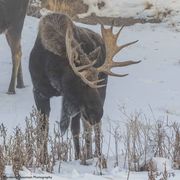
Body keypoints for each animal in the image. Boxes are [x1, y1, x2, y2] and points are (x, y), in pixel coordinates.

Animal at [28, 13, 140, 162]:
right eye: (80, 82)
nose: (97, 113)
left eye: (97, 80)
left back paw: (95, 154)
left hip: (100, 96)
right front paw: (43, 160)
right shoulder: (39, 92)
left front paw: (79, 158)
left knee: (92, 128)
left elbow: (76, 130)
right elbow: (42, 129)